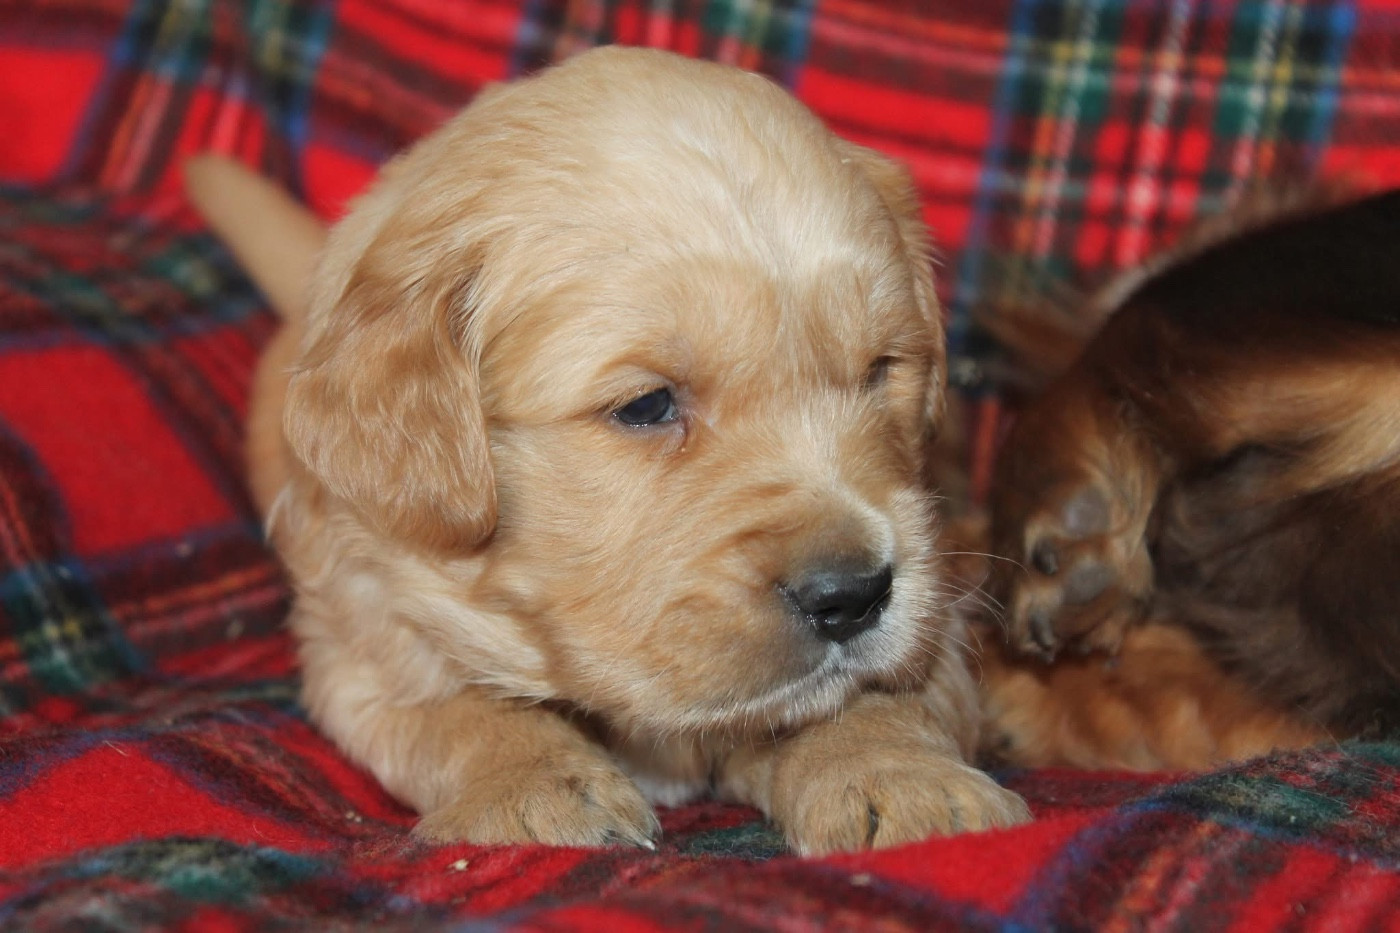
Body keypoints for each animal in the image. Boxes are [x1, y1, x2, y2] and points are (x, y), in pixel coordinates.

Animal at [185, 46, 1029, 854]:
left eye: (879, 370)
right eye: (647, 405)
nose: (852, 594)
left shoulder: (943, 618)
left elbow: (873, 699)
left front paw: (901, 776)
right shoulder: (361, 634)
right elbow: (460, 704)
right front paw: (535, 783)